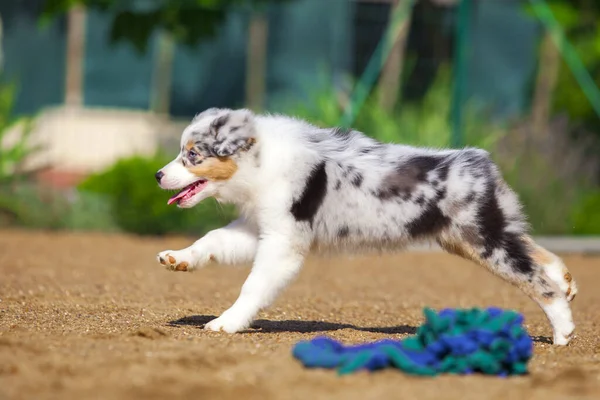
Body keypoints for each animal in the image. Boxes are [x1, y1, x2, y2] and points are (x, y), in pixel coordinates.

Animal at [157, 108, 580, 346]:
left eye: (192, 155)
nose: (159, 175)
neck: (260, 159)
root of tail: (481, 163)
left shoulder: (284, 240)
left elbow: (253, 285)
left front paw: (226, 323)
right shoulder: (259, 226)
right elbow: (214, 239)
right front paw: (178, 258)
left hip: (482, 240)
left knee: (533, 279)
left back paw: (563, 331)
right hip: (474, 237)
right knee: (536, 253)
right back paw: (566, 282)